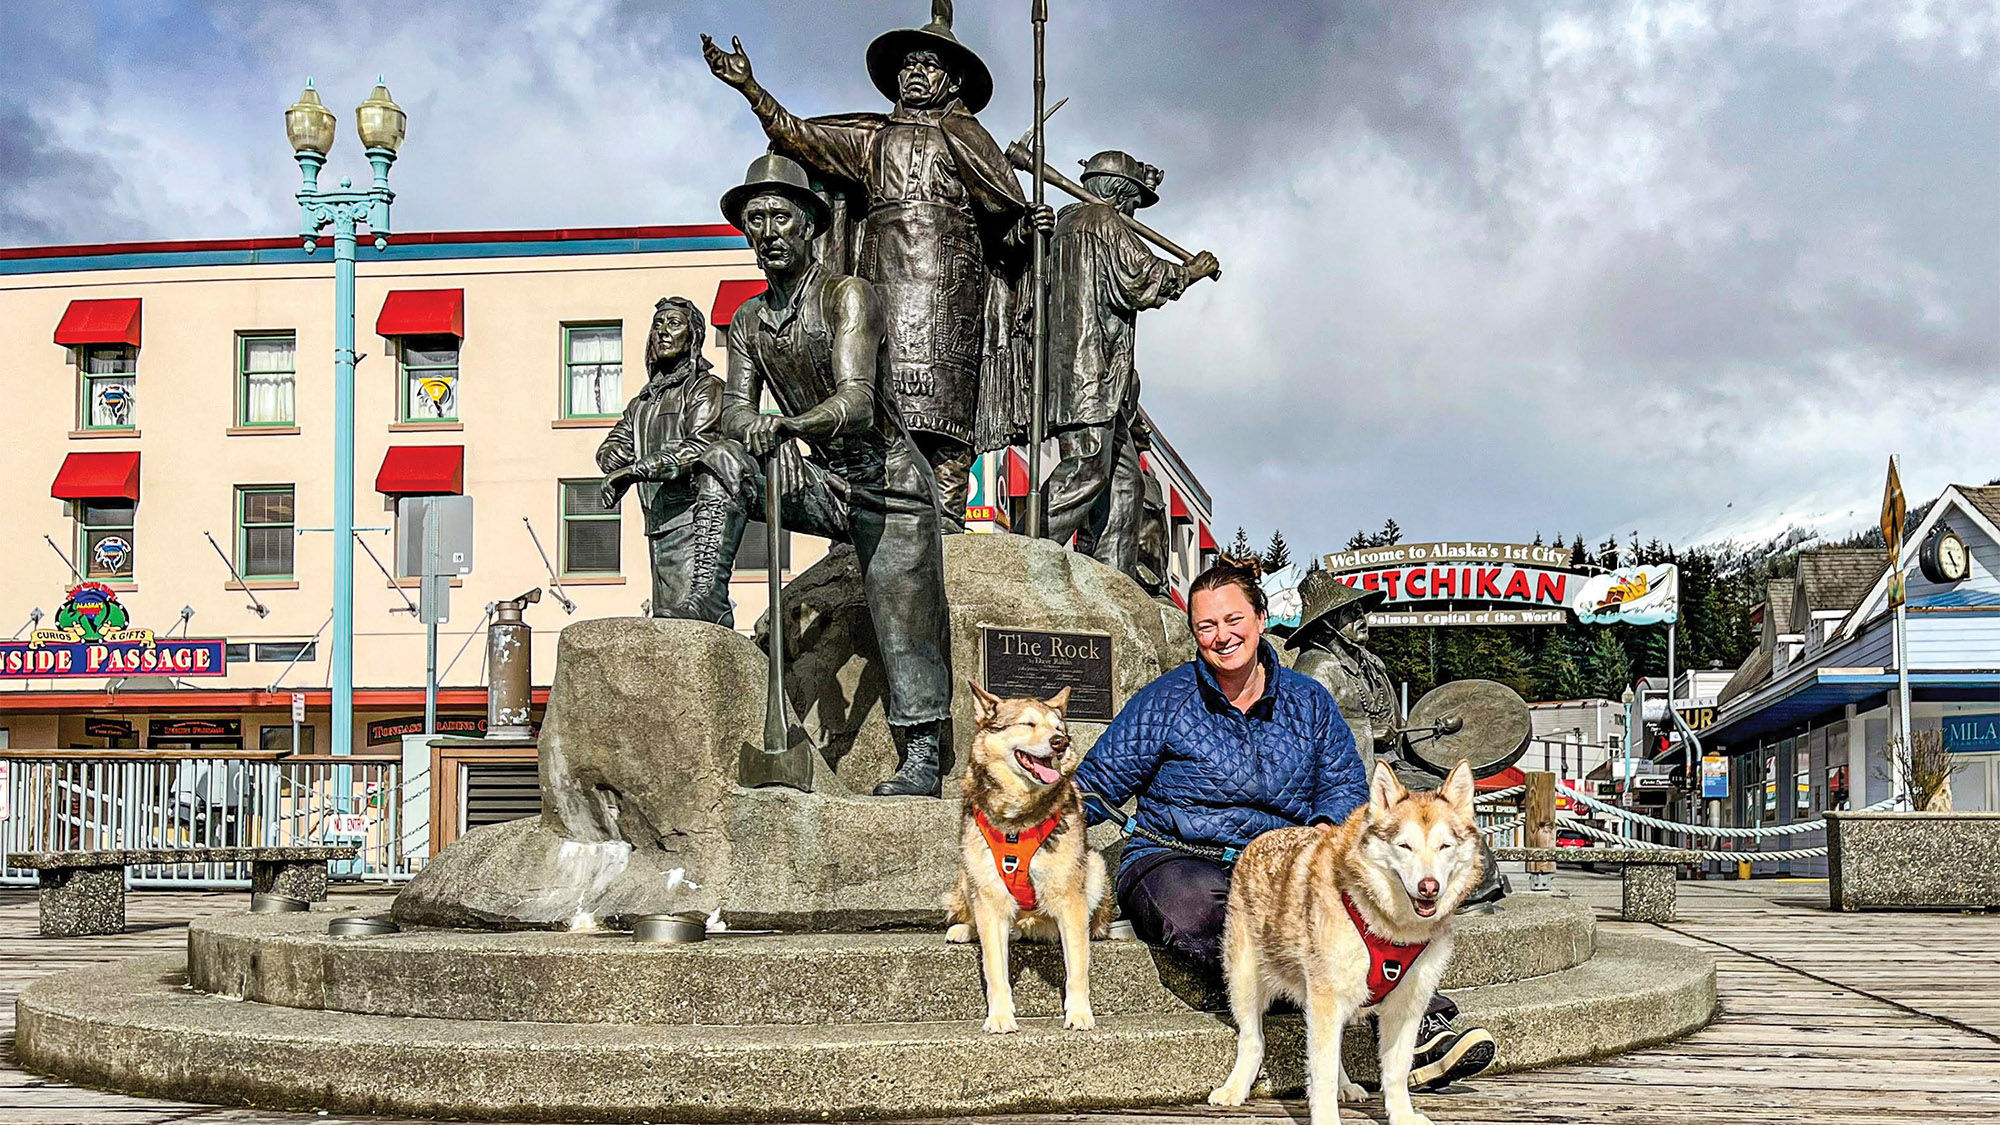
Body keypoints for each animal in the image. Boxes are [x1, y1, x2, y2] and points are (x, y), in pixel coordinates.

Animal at [944, 680, 1120, 1032]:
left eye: (1059, 728)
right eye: (1027, 724)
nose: (1060, 743)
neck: (1018, 819)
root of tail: (1027, 924)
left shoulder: (1070, 897)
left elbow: (1077, 967)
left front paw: (1079, 1012)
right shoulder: (990, 897)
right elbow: (994, 970)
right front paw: (1000, 1016)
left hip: (1093, 866)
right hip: (968, 876)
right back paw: (964, 929)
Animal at [1200, 752, 1488, 1120]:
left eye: (1444, 846)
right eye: (1405, 846)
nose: (1429, 887)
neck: (1391, 926)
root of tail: (1260, 838)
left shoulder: (1408, 1002)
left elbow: (1395, 1072)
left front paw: (1402, 1115)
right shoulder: (1326, 995)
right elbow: (1319, 1073)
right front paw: (1325, 1117)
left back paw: (1346, 1086)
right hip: (1245, 978)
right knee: (1253, 1039)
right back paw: (1235, 1088)